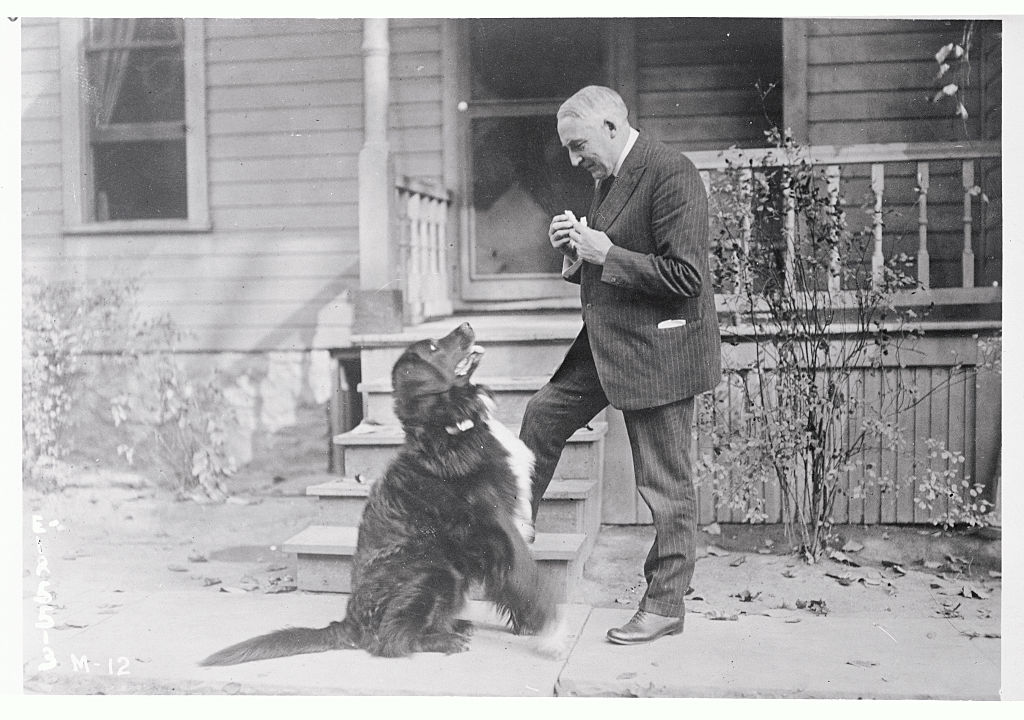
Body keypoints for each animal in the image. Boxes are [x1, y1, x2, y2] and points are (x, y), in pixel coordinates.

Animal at [199, 321, 565, 663]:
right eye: (433, 347)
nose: (466, 325)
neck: (448, 429)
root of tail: (349, 622)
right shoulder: (499, 528)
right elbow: (530, 577)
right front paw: (552, 631)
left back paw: (454, 626)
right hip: (434, 570)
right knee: (391, 641)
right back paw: (444, 639)